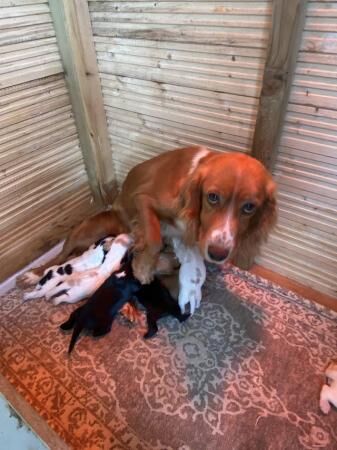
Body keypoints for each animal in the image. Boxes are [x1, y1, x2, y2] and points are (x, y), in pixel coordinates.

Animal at [22, 147, 276, 312]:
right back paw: (33, 273)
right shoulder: (143, 199)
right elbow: (153, 237)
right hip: (86, 230)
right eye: (212, 197)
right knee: (61, 255)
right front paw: (143, 267)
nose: (218, 253)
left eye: (249, 207)